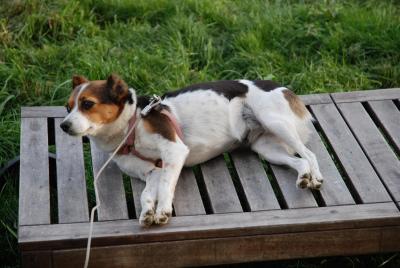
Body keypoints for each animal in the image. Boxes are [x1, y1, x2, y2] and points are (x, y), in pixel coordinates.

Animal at [61, 74, 324, 225]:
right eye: (68, 107)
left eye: (88, 104)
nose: (63, 126)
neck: (130, 126)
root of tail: (282, 87)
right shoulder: (153, 171)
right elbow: (147, 194)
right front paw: (147, 212)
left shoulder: (174, 151)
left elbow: (166, 188)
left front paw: (163, 211)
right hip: (266, 148)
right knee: (300, 161)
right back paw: (304, 177)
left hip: (275, 121)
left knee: (310, 154)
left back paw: (316, 177)